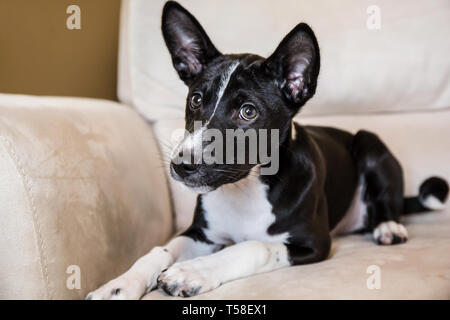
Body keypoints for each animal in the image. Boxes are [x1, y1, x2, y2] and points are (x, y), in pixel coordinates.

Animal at [87, 1, 446, 298]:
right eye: (196, 100)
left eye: (248, 112)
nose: (181, 165)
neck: (246, 189)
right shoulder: (200, 233)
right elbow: (160, 251)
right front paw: (120, 284)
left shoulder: (314, 242)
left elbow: (253, 247)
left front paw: (191, 272)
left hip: (369, 141)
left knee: (386, 201)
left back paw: (388, 226)